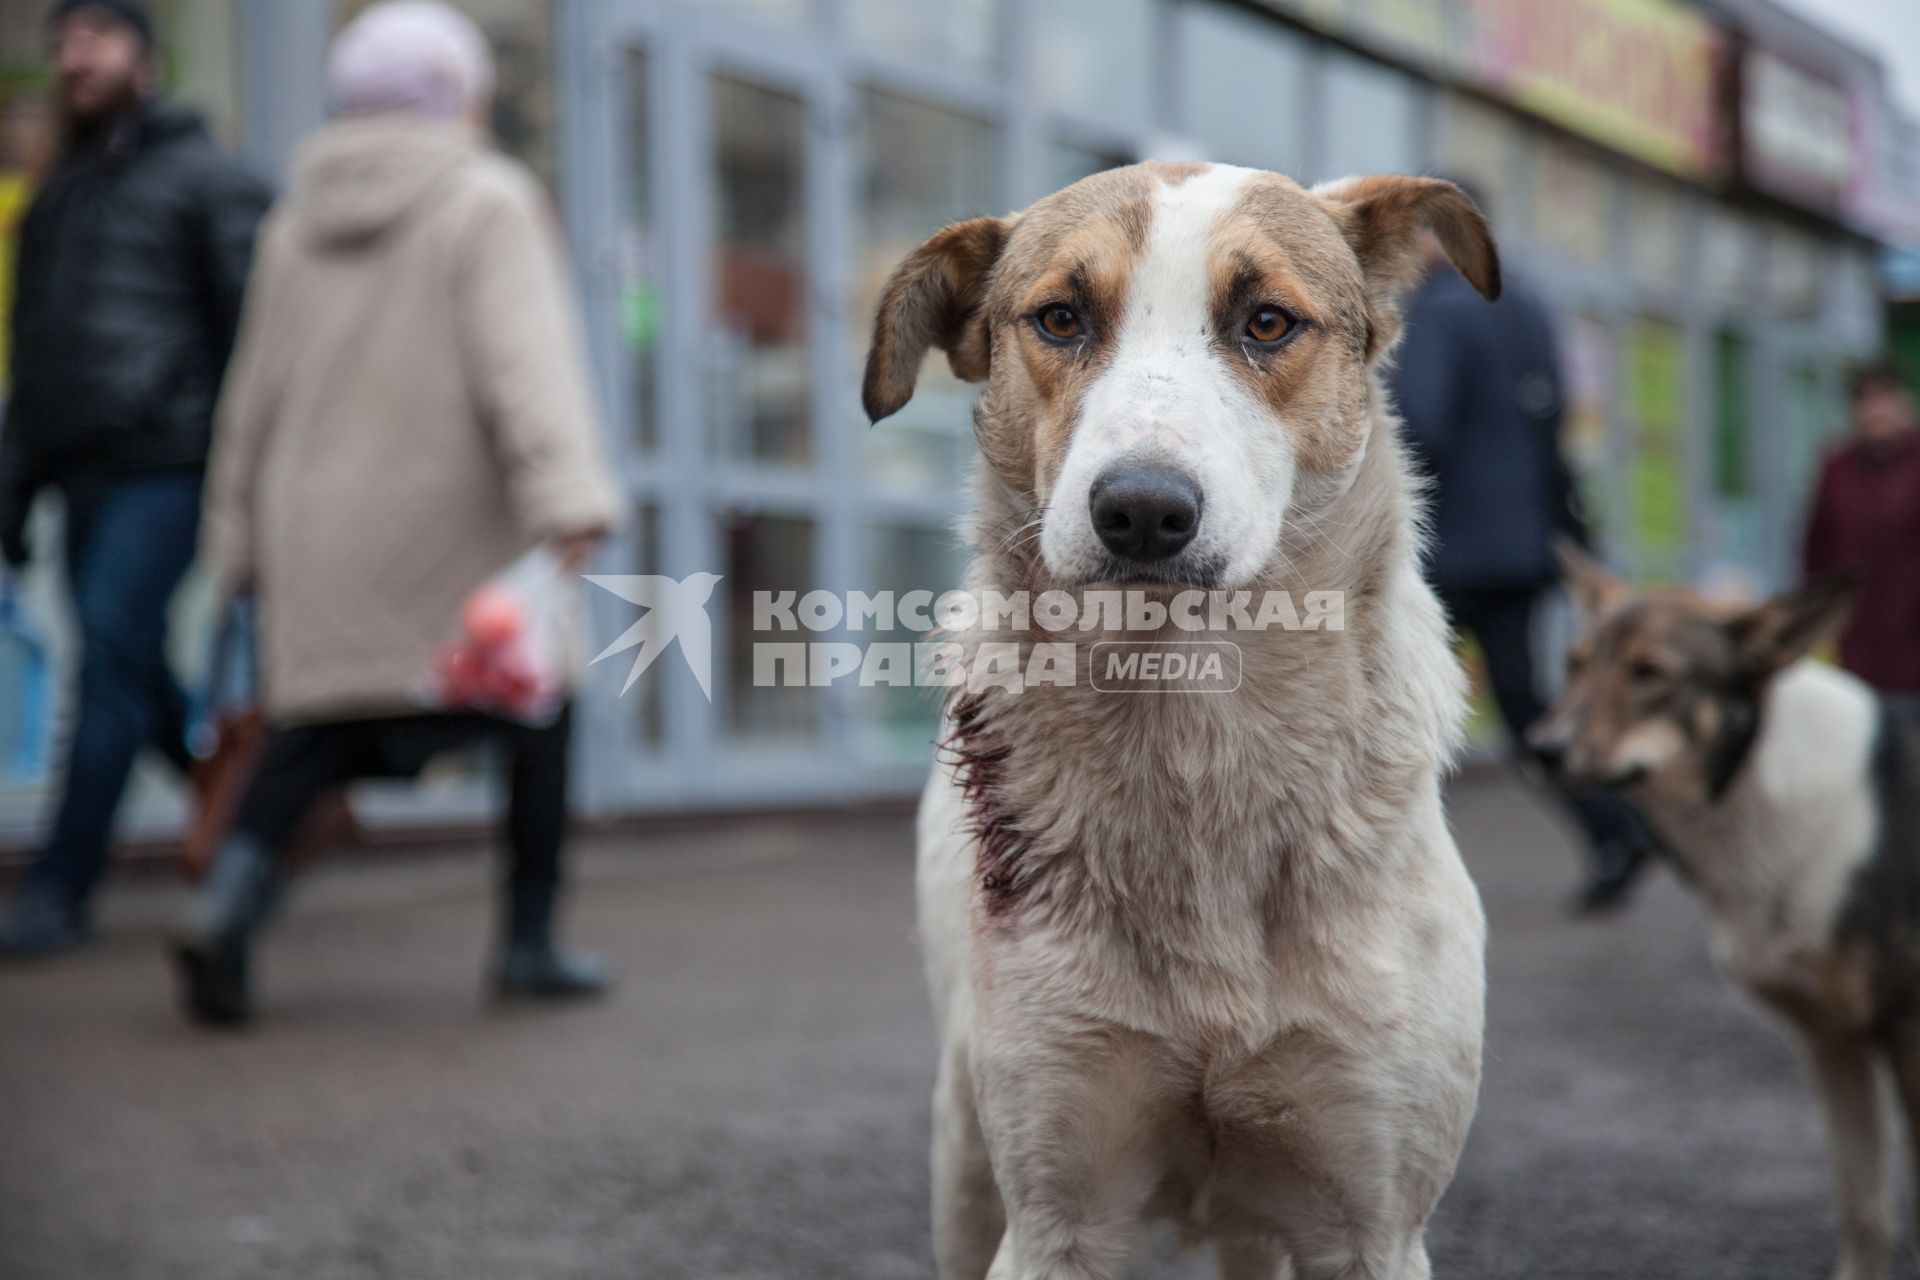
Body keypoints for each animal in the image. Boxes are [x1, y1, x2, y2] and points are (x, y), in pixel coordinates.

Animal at [864, 167, 1505, 1280]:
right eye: (1061, 318)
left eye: (1266, 321)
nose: (1143, 510)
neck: (1194, 728)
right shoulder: (1056, 1219)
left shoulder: (1373, 1226)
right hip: (964, 1157)